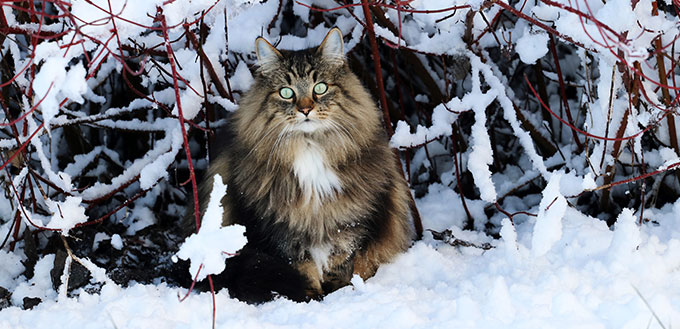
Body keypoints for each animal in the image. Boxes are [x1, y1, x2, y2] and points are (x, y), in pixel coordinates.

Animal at [194, 28, 414, 302]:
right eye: (286, 92)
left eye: (320, 88)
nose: (306, 109)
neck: (310, 147)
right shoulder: (280, 228)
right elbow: (301, 266)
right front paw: (309, 297)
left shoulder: (349, 220)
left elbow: (340, 262)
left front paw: (338, 293)